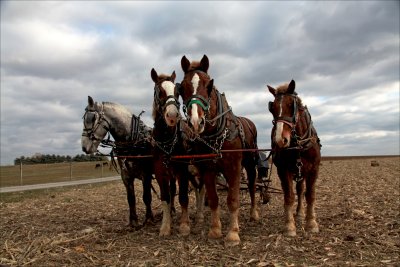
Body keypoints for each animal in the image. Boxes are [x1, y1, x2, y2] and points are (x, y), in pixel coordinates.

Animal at [80, 97, 154, 229]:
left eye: (92, 118)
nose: (84, 147)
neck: (134, 141)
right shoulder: (126, 176)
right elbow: (131, 198)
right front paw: (133, 222)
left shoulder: (146, 175)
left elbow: (147, 197)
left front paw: (149, 219)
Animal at [178, 55, 260, 247]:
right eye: (182, 87)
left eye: (209, 85)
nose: (195, 122)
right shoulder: (208, 169)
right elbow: (214, 199)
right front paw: (215, 230)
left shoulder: (234, 167)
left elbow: (233, 200)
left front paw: (232, 234)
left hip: (250, 164)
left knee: (252, 187)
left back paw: (254, 213)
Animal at [268, 80, 320, 237]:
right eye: (272, 108)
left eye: (292, 105)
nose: (280, 140)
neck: (299, 145)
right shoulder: (283, 170)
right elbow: (289, 196)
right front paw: (289, 226)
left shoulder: (313, 170)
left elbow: (310, 195)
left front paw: (311, 223)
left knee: (301, 190)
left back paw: (300, 213)